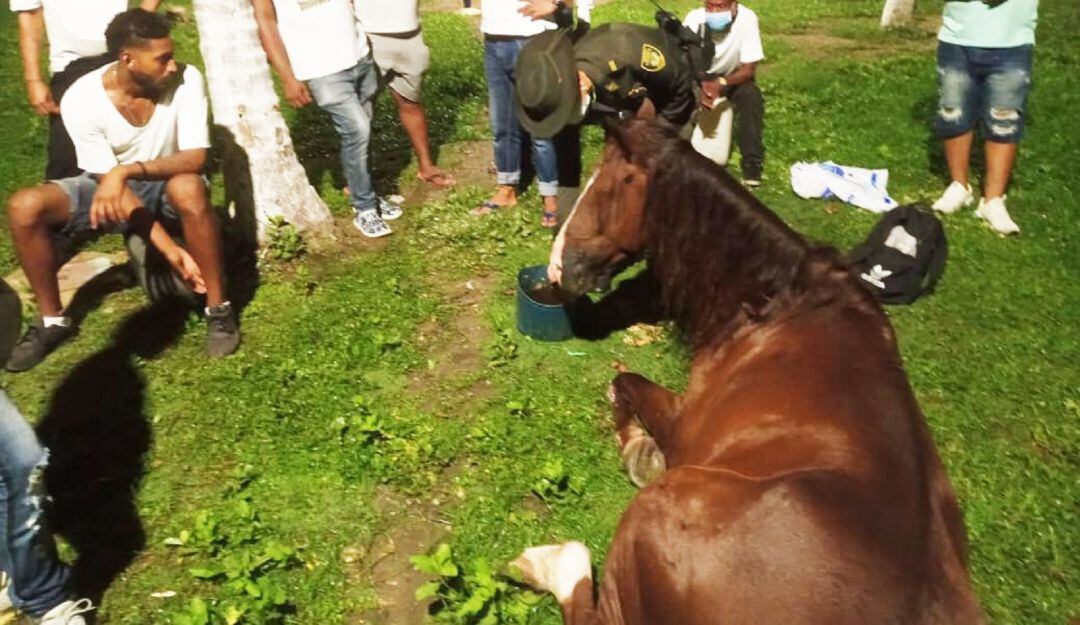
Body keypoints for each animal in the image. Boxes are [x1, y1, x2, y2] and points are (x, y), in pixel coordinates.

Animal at [511, 118, 984, 625]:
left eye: (608, 187)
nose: (558, 270)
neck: (780, 304)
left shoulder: (681, 421)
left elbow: (622, 384)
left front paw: (642, 452)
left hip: (648, 517)